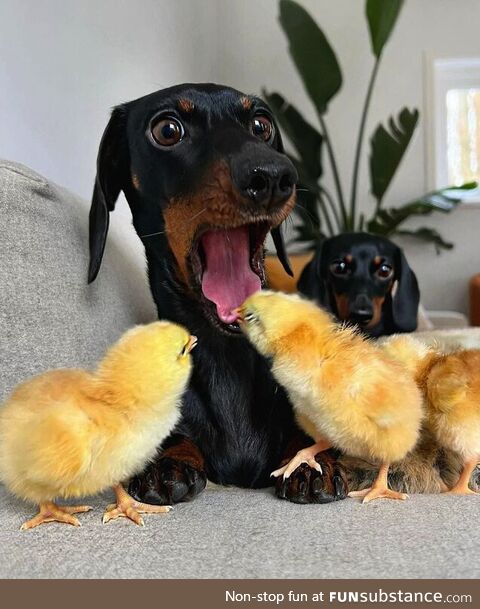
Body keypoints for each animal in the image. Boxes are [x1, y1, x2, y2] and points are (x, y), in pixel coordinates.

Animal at [88, 84, 346, 504]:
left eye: (261, 124)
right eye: (167, 130)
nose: (272, 175)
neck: (230, 358)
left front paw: (310, 461)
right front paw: (168, 461)